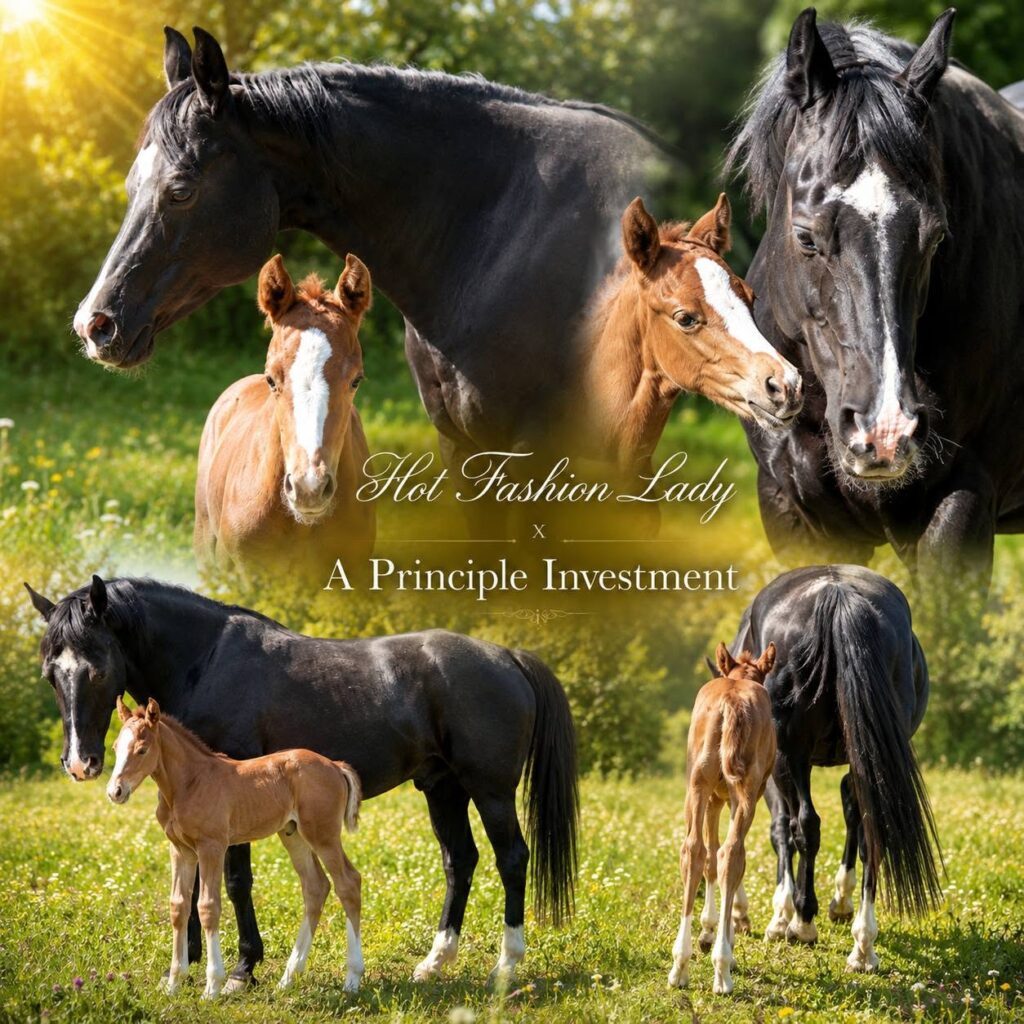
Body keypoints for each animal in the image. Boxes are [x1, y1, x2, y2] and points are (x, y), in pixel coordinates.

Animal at [71, 27, 676, 532]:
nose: (95, 325)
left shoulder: (544, 456)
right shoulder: (462, 445)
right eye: (131, 185)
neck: (497, 234)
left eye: (180, 190)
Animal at [107, 698, 364, 998]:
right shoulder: (181, 850)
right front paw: (173, 984)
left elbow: (208, 907)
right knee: (316, 887)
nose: (115, 792)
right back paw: (288, 978)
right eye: (115, 747)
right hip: (293, 834)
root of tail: (335, 766)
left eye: (142, 749)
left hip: (323, 835)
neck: (189, 782)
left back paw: (352, 979)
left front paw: (212, 987)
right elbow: (178, 906)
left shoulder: (212, 846)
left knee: (348, 883)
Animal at [667, 642, 776, 995]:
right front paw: (724, 932)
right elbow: (728, 859)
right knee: (733, 853)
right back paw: (723, 969)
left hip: (697, 785)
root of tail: (730, 703)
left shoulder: (715, 798)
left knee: (694, 850)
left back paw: (680, 965)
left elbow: (710, 858)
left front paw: (707, 933)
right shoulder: (736, 797)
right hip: (746, 792)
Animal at [728, 565, 940, 972]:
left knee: (805, 825)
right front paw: (840, 902)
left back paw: (804, 922)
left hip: (791, 755)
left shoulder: (775, 767)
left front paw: (781, 917)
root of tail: (837, 594)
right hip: (866, 749)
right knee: (871, 827)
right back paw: (863, 945)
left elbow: (783, 829)